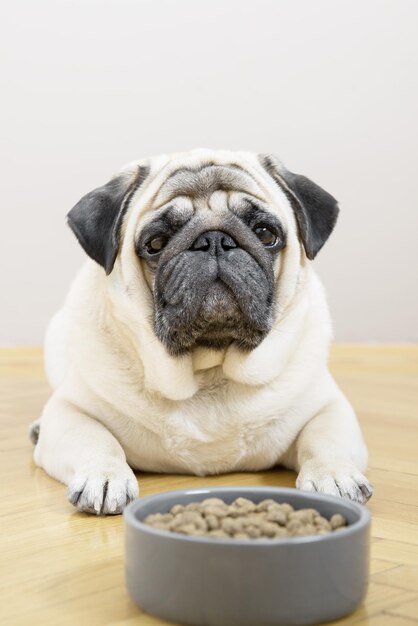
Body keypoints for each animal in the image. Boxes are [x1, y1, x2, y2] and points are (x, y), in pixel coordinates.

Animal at [31, 147, 374, 512]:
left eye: (266, 234)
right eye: (156, 243)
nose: (214, 240)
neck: (209, 369)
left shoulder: (328, 406)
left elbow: (324, 437)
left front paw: (334, 475)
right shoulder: (71, 410)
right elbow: (95, 438)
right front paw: (105, 476)